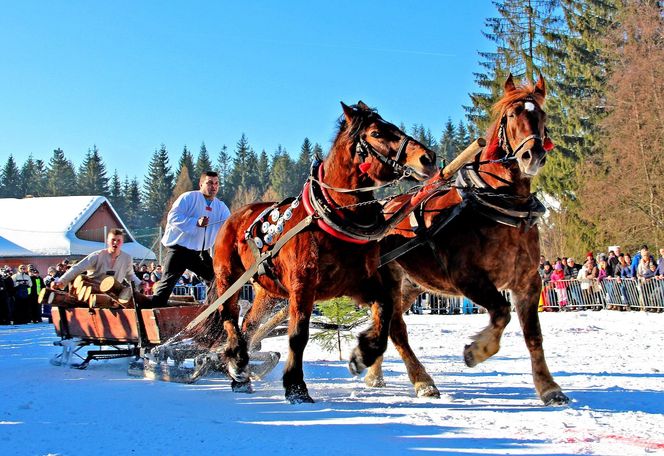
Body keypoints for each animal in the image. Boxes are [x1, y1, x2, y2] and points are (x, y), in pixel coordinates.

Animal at [197, 102, 436, 402]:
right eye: (377, 133)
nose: (428, 158)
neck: (332, 217)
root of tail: (232, 216)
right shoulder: (303, 285)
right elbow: (298, 335)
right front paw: (296, 387)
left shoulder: (358, 283)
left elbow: (385, 310)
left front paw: (362, 355)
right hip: (228, 278)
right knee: (230, 318)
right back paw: (238, 363)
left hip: (267, 292)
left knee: (249, 325)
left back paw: (241, 376)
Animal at [364, 75, 572, 406]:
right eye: (512, 114)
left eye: (541, 115)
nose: (533, 155)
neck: (500, 206)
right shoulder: (468, 278)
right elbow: (500, 312)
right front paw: (476, 351)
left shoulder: (528, 282)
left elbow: (533, 336)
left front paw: (549, 387)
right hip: (389, 281)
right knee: (396, 329)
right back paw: (423, 382)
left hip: (410, 285)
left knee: (384, 324)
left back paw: (373, 372)